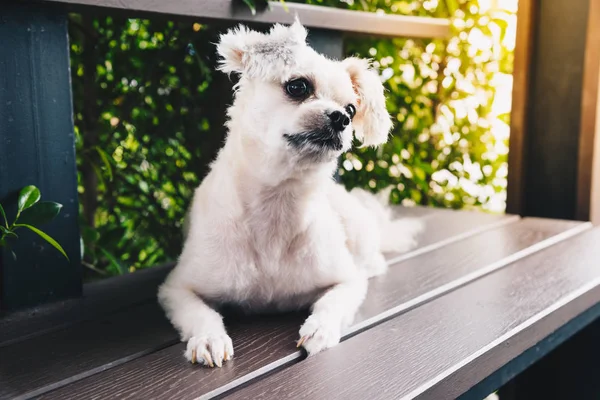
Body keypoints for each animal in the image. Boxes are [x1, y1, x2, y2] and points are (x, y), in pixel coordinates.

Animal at [159, 20, 422, 368]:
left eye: (352, 108)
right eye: (298, 87)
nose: (341, 118)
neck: (278, 202)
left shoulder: (348, 281)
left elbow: (333, 303)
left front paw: (320, 329)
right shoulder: (176, 288)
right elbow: (200, 313)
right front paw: (209, 338)